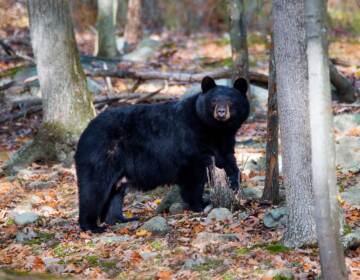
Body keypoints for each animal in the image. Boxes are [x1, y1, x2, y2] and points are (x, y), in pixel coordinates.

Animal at [75, 76, 250, 232]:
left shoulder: (225, 142)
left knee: (115, 192)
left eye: (231, 101)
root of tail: (86, 130)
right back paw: (91, 226)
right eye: (213, 101)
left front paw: (235, 188)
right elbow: (194, 175)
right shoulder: (190, 140)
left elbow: (228, 162)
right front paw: (200, 203)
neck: (214, 130)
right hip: (103, 155)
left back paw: (120, 219)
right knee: (94, 188)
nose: (221, 113)